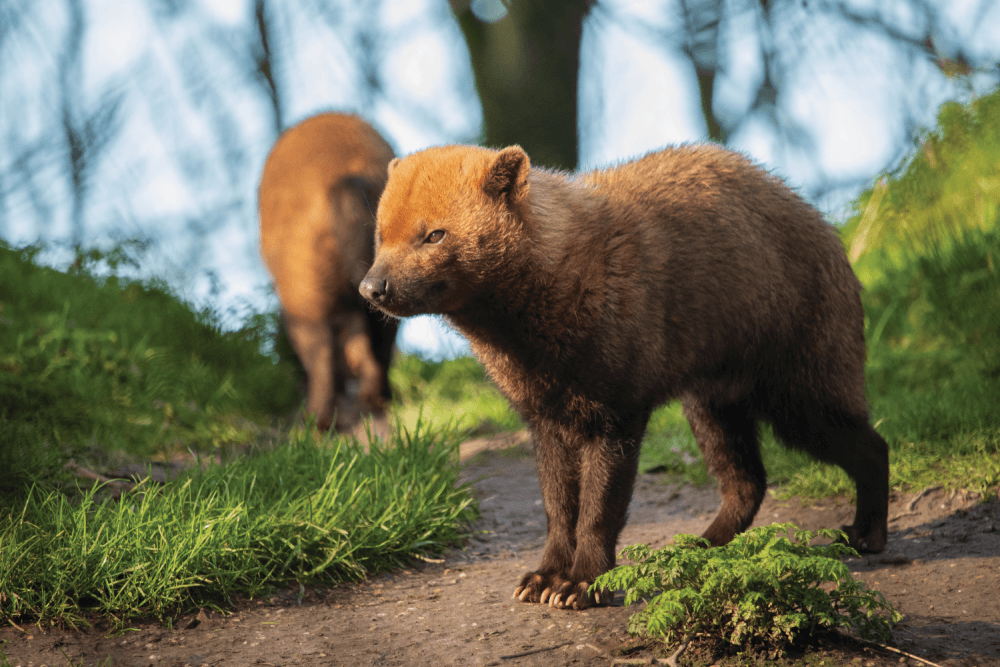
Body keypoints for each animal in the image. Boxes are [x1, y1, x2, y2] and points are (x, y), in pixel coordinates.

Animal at [258, 112, 398, 430]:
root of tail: (346, 179)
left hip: (303, 296)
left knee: (321, 355)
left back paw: (315, 421)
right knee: (376, 345)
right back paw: (377, 402)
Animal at [360, 142, 892, 612]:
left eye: (435, 234)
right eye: (381, 233)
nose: (372, 288)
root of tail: (833, 239)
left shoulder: (616, 411)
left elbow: (600, 508)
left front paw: (581, 585)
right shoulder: (546, 419)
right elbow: (558, 506)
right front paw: (542, 577)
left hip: (798, 392)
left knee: (871, 445)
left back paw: (865, 535)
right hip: (713, 401)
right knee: (747, 481)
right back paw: (699, 546)